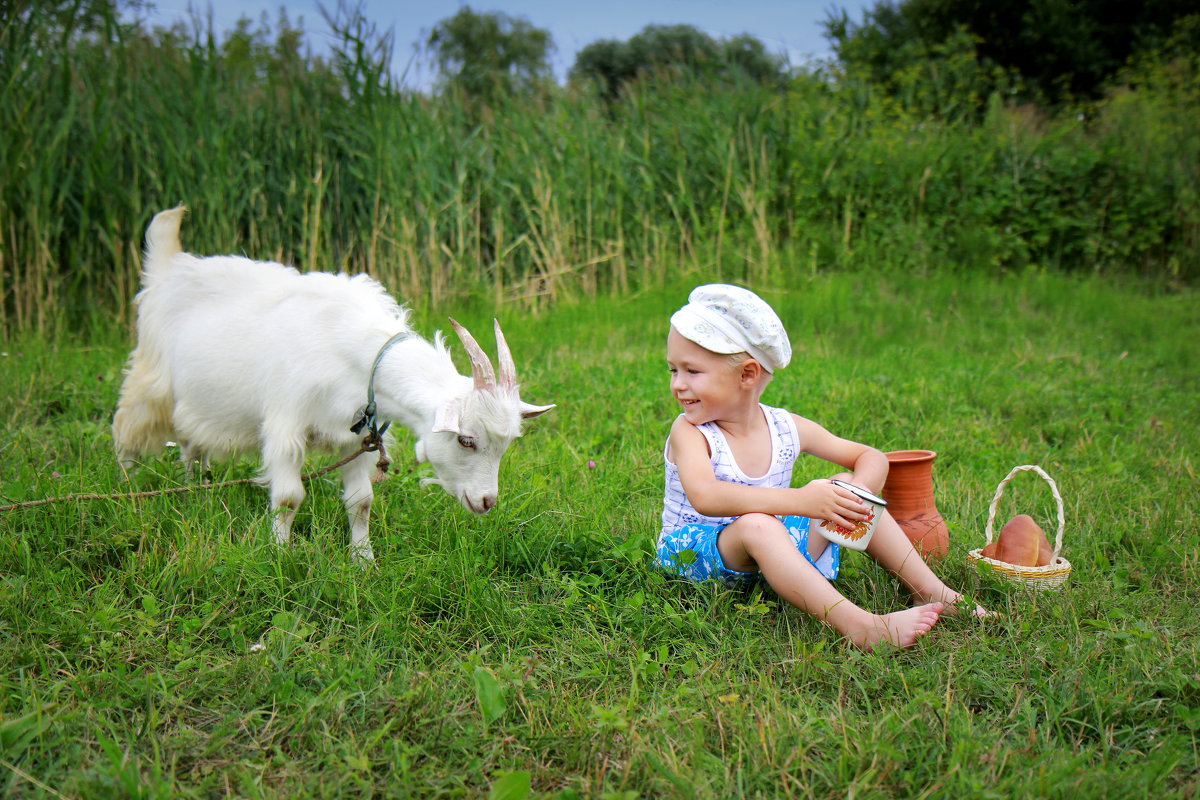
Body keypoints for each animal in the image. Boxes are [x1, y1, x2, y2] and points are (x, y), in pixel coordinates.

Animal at [112, 206, 552, 563]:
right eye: (466, 440)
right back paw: (128, 493)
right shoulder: (286, 426)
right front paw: (280, 556)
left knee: (190, 443)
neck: (352, 349)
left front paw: (363, 561)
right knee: (127, 431)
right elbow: (288, 498)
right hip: (150, 382)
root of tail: (171, 266)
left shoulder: (356, 434)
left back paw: (196, 491)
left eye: (505, 445)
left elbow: (361, 502)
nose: (486, 502)